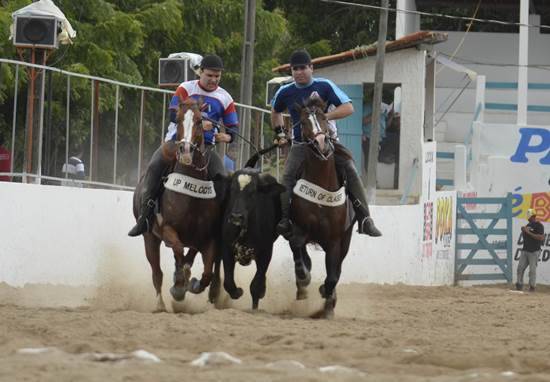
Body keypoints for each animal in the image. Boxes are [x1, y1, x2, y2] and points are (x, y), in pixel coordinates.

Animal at [134, 97, 224, 312]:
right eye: (178, 119)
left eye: (200, 121)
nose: (185, 150)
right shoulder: (167, 228)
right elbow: (177, 249)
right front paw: (178, 288)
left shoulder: (208, 237)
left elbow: (206, 272)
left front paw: (193, 284)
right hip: (149, 237)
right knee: (157, 273)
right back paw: (161, 304)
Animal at [292, 97, 356, 318]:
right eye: (303, 122)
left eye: (324, 118)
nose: (321, 142)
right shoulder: (298, 230)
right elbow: (298, 253)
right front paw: (304, 282)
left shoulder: (335, 240)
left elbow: (332, 276)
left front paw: (328, 301)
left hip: (346, 239)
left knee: (337, 269)